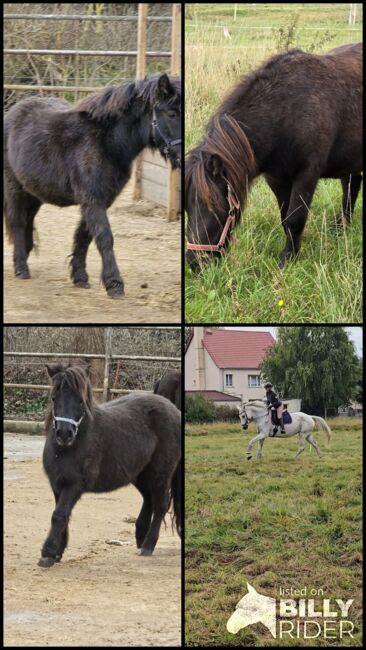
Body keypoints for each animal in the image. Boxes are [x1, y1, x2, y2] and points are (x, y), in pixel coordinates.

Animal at [2, 73, 180, 296]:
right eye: (172, 113)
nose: (181, 157)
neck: (106, 143)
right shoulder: (92, 199)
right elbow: (104, 236)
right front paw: (114, 283)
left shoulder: (101, 200)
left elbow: (84, 235)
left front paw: (80, 277)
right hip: (14, 187)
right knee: (17, 221)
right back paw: (21, 268)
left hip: (34, 192)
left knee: (28, 219)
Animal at [39, 362, 182, 564]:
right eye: (53, 398)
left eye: (81, 400)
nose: (65, 434)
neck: (67, 448)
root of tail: (174, 410)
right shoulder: (57, 484)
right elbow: (61, 514)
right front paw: (58, 551)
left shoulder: (74, 485)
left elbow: (59, 515)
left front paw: (48, 553)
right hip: (140, 474)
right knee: (149, 499)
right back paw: (140, 538)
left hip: (160, 472)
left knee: (160, 504)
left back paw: (148, 545)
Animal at [186, 43, 364, 266]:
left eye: (215, 207)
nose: (195, 262)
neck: (286, 111)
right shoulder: (276, 179)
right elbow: (285, 218)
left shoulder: (307, 175)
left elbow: (295, 219)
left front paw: (288, 259)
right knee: (351, 186)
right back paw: (342, 227)